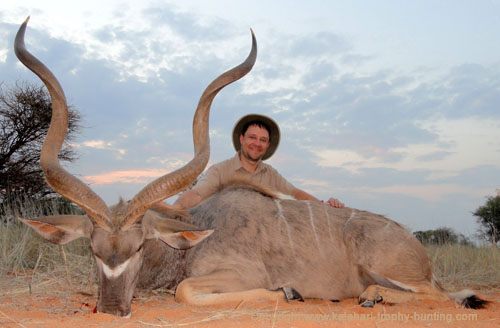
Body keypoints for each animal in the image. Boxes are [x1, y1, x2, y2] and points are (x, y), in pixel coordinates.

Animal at [15, 18, 488, 318]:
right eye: (94, 251)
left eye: (137, 248)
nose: (112, 308)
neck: (192, 238)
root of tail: (416, 248)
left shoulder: (238, 274)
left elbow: (187, 291)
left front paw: (291, 292)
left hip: (391, 269)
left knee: (443, 296)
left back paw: (372, 297)